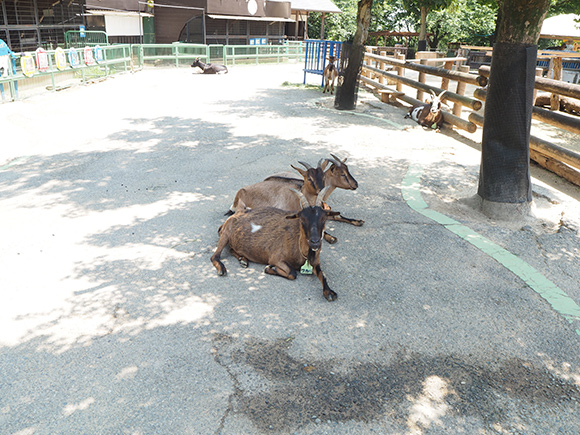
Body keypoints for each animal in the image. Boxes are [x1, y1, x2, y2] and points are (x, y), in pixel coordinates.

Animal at [212, 187, 340, 304]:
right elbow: (292, 273)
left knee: (231, 249)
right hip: (226, 233)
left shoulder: (315, 261)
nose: (315, 242)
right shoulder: (276, 258)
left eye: (324, 219)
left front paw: (329, 292)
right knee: (215, 256)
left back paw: (243, 260)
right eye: (302, 220)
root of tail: (238, 212)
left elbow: (322, 274)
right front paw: (270, 268)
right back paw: (222, 269)